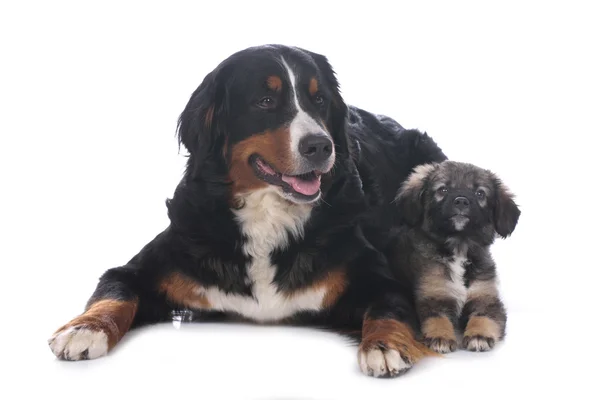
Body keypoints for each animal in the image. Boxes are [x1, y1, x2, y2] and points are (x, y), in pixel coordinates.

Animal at [392, 161, 516, 352]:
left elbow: (484, 317)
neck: (459, 247)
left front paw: (479, 336)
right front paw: (441, 337)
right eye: (443, 189)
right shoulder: (433, 296)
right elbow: (437, 319)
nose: (461, 201)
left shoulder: (487, 298)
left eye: (480, 193)